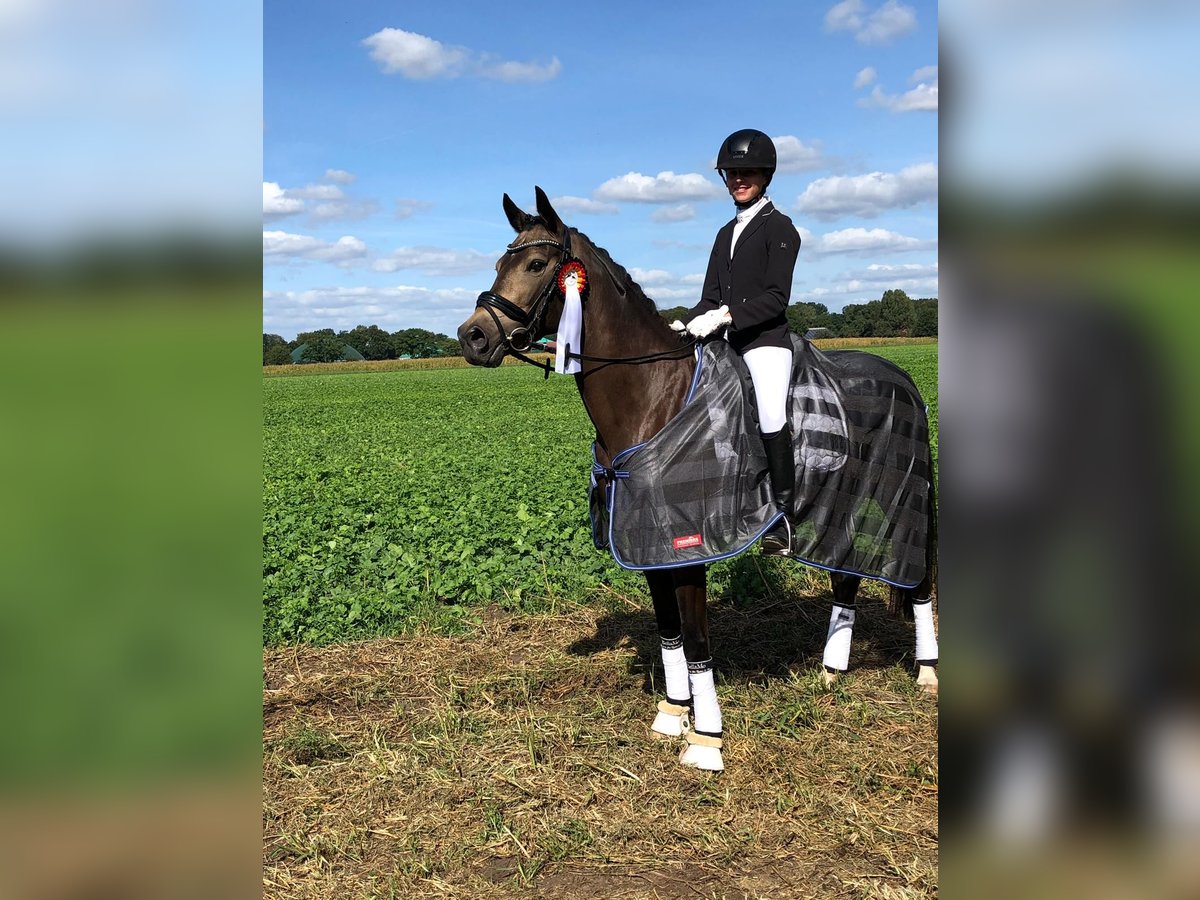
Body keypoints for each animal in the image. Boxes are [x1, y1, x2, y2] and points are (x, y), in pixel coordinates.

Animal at [458, 187, 936, 772]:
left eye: (535, 264)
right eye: (499, 263)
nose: (472, 337)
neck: (651, 396)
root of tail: (903, 379)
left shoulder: (688, 547)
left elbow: (697, 638)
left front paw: (707, 739)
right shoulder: (648, 542)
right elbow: (669, 632)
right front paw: (672, 713)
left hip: (904, 500)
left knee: (916, 578)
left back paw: (927, 674)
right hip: (844, 505)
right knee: (846, 574)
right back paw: (830, 673)